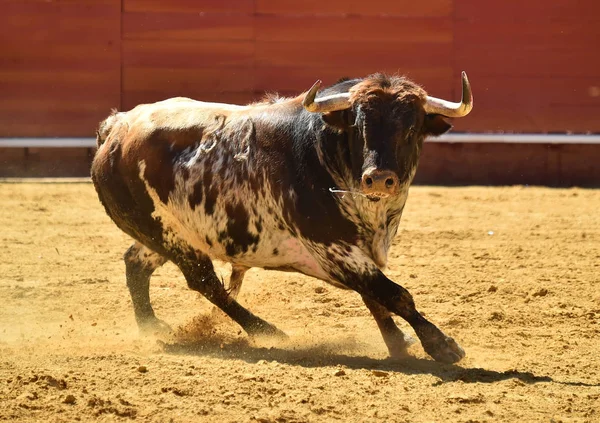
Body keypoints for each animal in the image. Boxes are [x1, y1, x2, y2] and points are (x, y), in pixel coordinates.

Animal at [90, 72, 474, 364]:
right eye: (358, 127)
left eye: (411, 129)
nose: (379, 179)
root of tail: (116, 127)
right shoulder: (332, 245)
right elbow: (393, 293)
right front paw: (441, 345)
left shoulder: (353, 250)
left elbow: (374, 295)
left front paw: (398, 343)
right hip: (167, 235)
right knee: (205, 282)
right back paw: (268, 331)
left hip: (164, 234)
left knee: (135, 264)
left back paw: (151, 326)